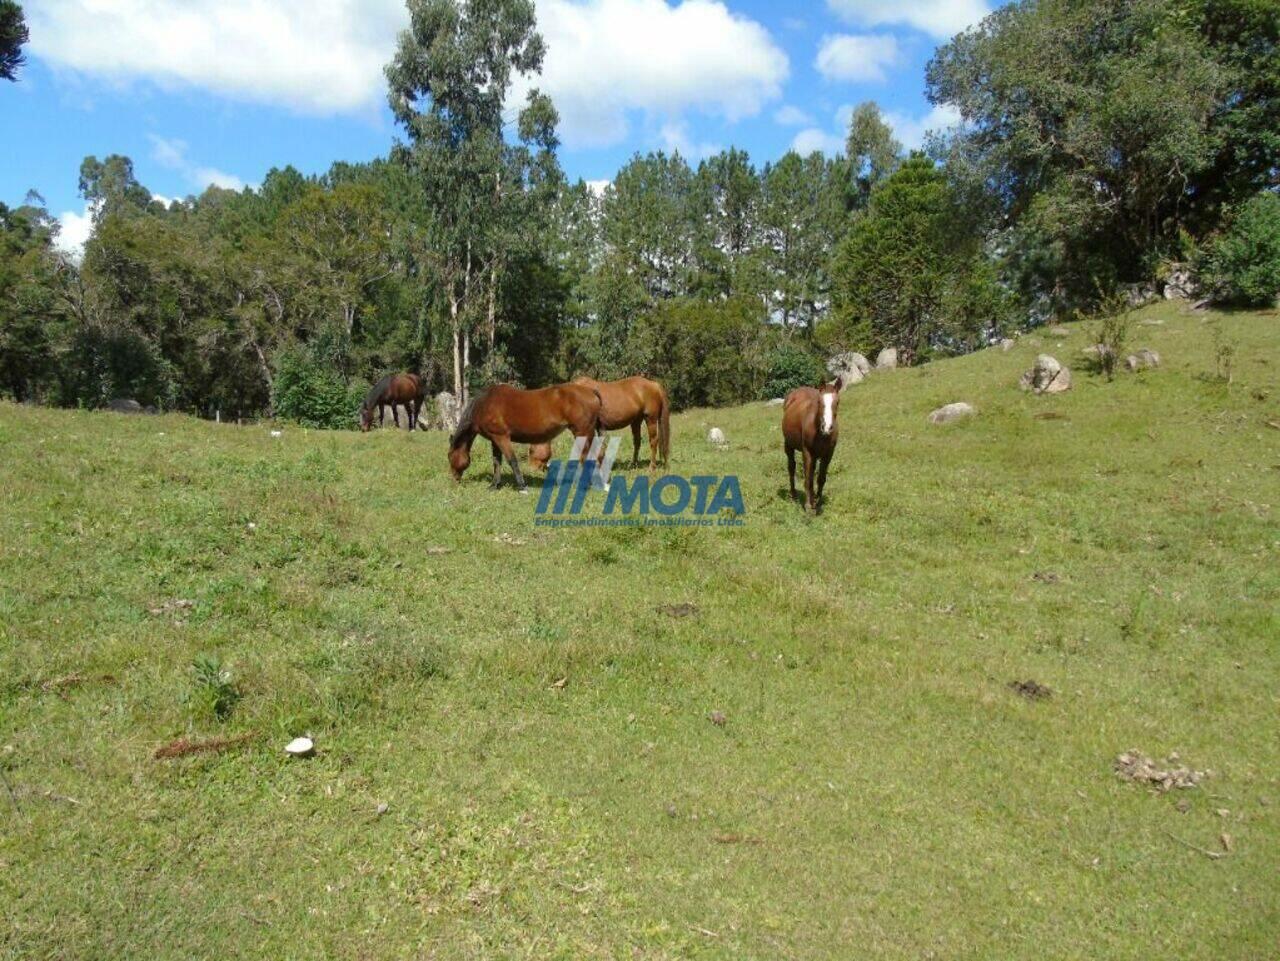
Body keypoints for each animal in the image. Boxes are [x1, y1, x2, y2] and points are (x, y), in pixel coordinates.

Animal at [450, 383, 604, 491]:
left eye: (449, 456)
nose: (454, 479)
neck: (484, 404)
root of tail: (591, 391)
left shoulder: (502, 438)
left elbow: (512, 460)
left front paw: (522, 486)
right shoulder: (495, 439)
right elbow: (496, 462)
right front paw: (494, 485)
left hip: (583, 434)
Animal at [527, 373, 670, 470]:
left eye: (531, 450)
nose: (533, 468)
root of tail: (654, 384)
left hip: (650, 419)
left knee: (653, 441)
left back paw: (651, 467)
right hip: (636, 421)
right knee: (637, 441)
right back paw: (633, 464)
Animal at [778, 378, 839, 514]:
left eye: (837, 402)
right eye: (819, 401)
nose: (827, 427)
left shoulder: (829, 454)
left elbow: (821, 478)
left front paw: (817, 502)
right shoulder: (808, 452)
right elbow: (808, 479)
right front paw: (808, 505)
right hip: (788, 445)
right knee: (792, 467)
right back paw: (793, 495)